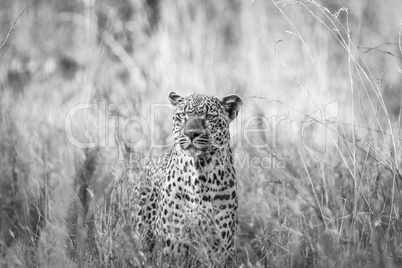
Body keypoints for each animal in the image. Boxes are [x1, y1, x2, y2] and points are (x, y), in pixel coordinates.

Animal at [137, 92, 242, 266]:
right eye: (182, 115)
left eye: (209, 116)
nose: (191, 133)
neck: (199, 174)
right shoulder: (172, 243)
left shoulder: (219, 246)